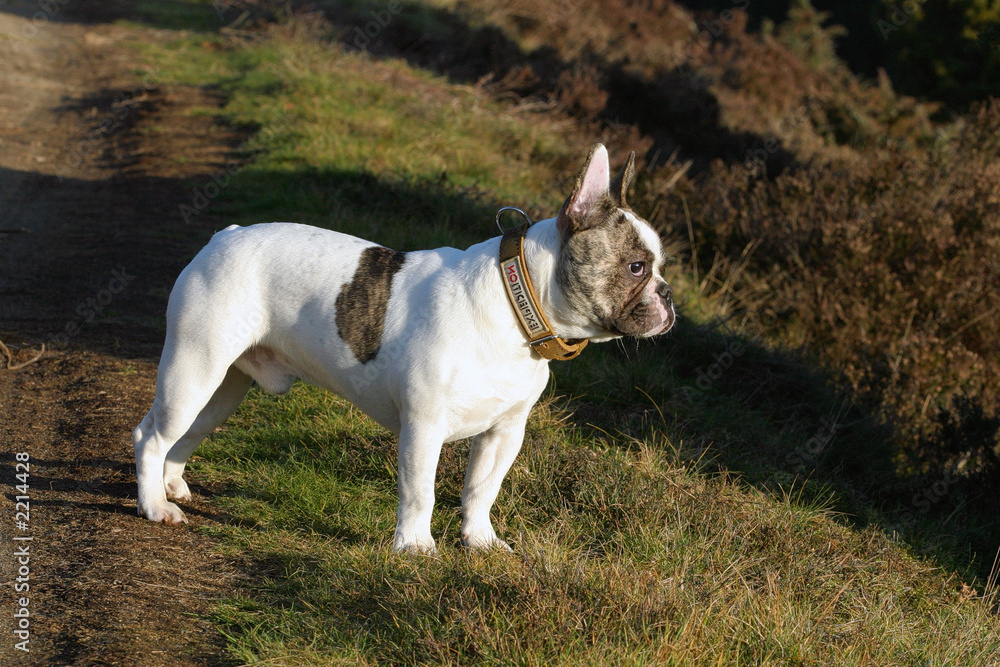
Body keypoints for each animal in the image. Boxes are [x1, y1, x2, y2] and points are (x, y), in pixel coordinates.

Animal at [133, 145, 676, 552]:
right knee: (152, 436)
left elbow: (482, 489)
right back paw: (155, 506)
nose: (669, 295)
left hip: (223, 386)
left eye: (660, 266)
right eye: (636, 267)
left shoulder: (504, 432)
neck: (518, 306)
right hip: (194, 368)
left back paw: (170, 485)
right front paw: (415, 548)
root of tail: (223, 237)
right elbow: (420, 491)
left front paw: (480, 542)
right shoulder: (424, 427)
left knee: (187, 433)